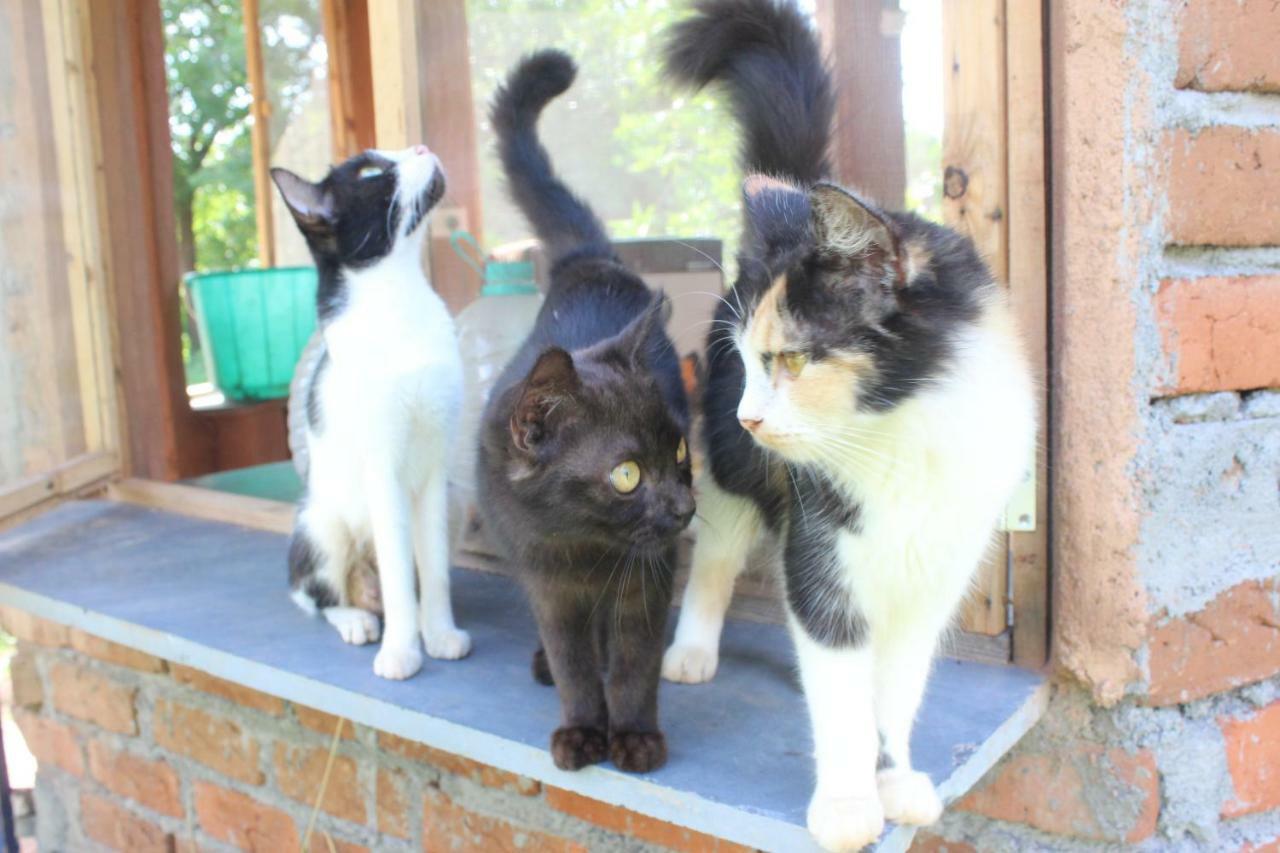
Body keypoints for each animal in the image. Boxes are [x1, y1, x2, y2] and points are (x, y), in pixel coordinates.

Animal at [273, 144, 471, 676]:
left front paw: (438, 633)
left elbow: (433, 568)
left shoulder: (435, 469)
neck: (400, 298)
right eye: (370, 171)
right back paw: (357, 620)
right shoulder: (383, 470)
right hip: (321, 525)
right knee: (314, 594)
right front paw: (402, 651)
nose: (420, 147)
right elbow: (399, 574)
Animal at [478, 49, 696, 773]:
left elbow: (634, 663)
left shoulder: (648, 580)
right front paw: (580, 728)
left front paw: (633, 735)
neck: (588, 544)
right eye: (627, 474)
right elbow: (575, 660)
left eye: (680, 453)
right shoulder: (548, 580)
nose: (684, 507)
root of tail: (587, 260)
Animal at [660, 3, 1039, 845]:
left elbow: (894, 695)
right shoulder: (822, 568)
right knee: (715, 558)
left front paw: (893, 779)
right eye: (750, 359)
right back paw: (691, 650)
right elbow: (840, 700)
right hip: (731, 474)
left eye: (795, 360)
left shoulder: (934, 582)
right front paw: (844, 804)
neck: (900, 442)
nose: (750, 412)